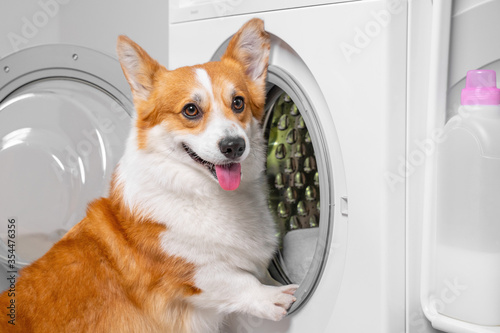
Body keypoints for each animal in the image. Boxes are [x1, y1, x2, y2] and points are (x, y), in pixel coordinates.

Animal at [0, 18, 296, 332]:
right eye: (191, 110)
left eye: (238, 102)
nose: (234, 146)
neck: (204, 194)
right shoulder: (185, 274)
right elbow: (233, 279)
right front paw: (272, 296)